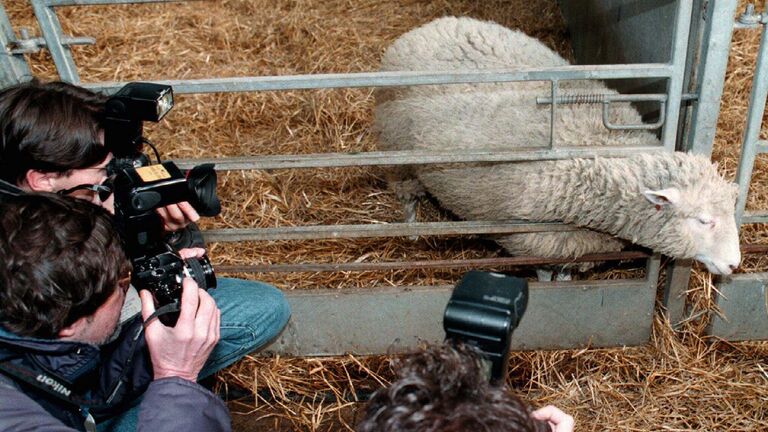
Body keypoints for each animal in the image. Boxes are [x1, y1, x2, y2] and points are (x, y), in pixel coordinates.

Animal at [376, 16, 740, 276]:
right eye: (703, 220)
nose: (734, 264)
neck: (600, 148)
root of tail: (426, 27)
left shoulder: (574, 246)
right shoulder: (536, 241)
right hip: (397, 154)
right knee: (407, 196)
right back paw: (412, 231)